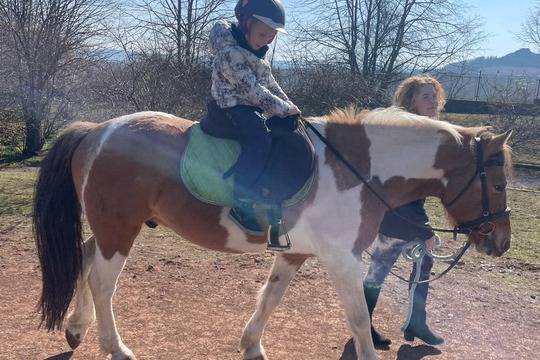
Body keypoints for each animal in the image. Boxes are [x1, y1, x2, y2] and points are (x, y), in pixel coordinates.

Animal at [31, 105, 512, 358]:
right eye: (498, 182)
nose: (501, 242)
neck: (356, 168)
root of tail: (97, 130)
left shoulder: (294, 252)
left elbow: (271, 297)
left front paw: (251, 345)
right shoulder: (343, 260)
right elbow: (359, 318)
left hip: (109, 230)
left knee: (86, 260)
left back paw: (76, 329)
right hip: (119, 230)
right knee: (101, 283)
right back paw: (115, 347)